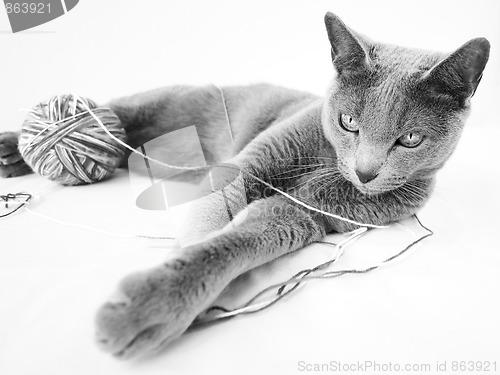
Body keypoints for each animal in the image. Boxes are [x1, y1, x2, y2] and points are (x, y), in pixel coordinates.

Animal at [0, 11, 488, 358]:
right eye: (348, 122)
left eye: (410, 140)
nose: (366, 172)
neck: (325, 162)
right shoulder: (245, 165)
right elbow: (209, 226)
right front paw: (165, 300)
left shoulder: (305, 214)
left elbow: (243, 238)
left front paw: (168, 306)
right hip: (158, 105)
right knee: (111, 110)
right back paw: (15, 147)